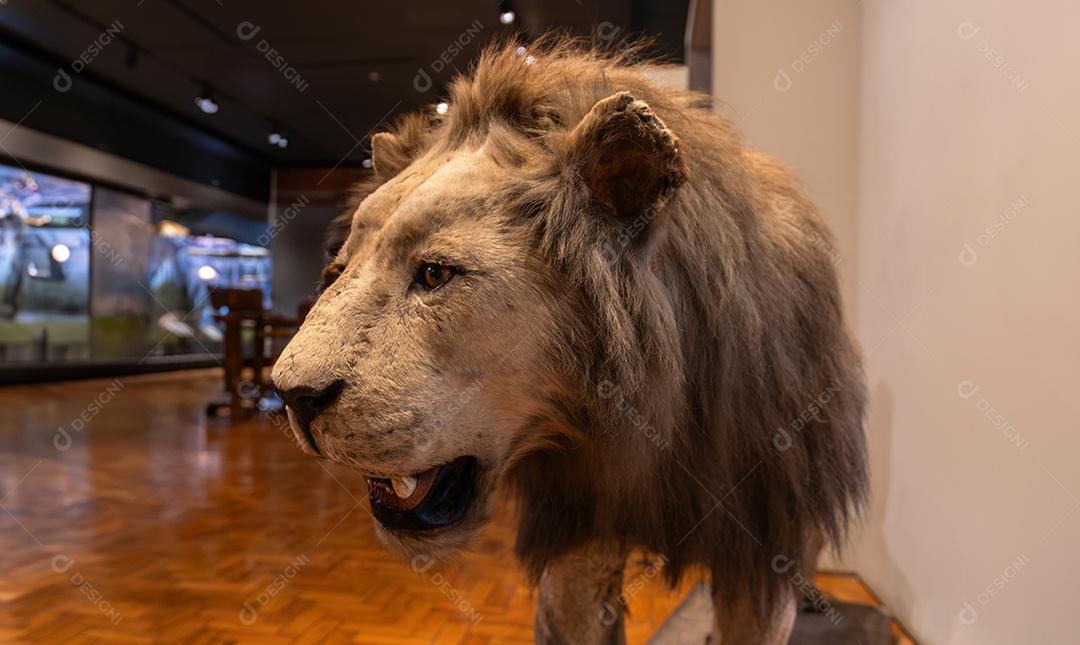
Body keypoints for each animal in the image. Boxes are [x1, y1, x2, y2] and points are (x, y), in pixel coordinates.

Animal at [272, 40, 868, 645]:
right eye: (336, 272)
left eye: (435, 274)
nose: (290, 395)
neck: (650, 418)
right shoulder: (580, 523)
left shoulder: (766, 539)